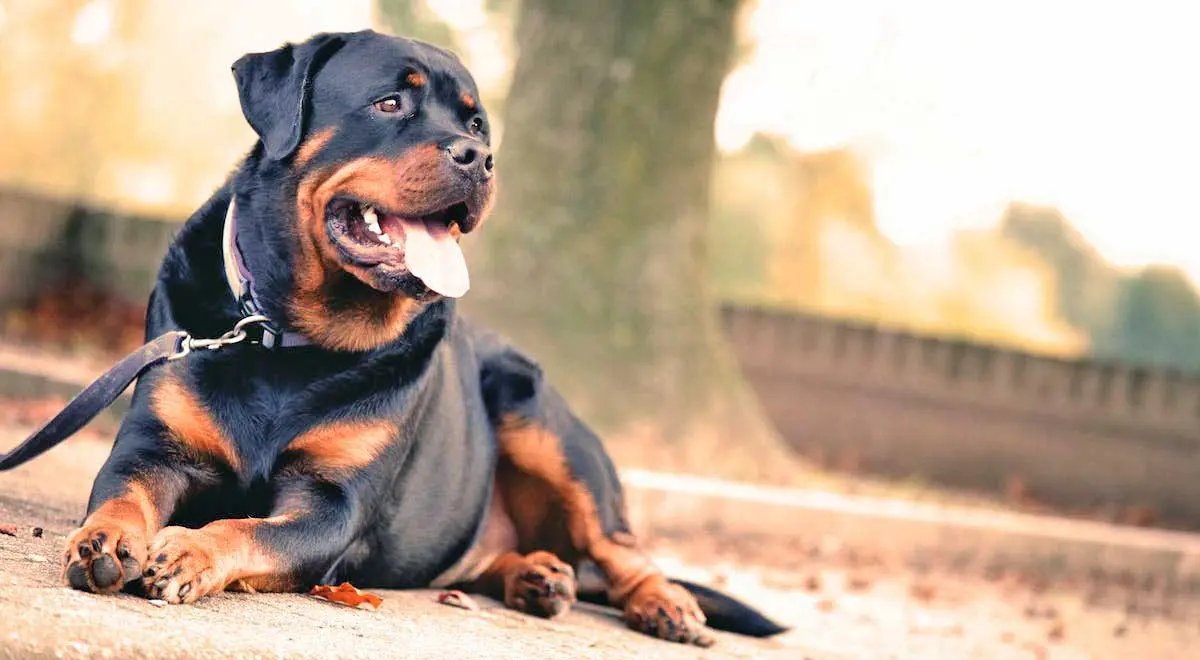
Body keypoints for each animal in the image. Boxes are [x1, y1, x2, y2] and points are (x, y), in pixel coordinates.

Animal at [58, 29, 787, 648]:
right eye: (390, 103)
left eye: (476, 124)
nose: (480, 158)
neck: (287, 336)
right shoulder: (154, 447)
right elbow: (122, 491)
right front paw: (106, 542)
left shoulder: (332, 504)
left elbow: (249, 527)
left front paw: (189, 548)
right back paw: (537, 576)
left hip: (541, 421)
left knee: (621, 547)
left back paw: (662, 603)